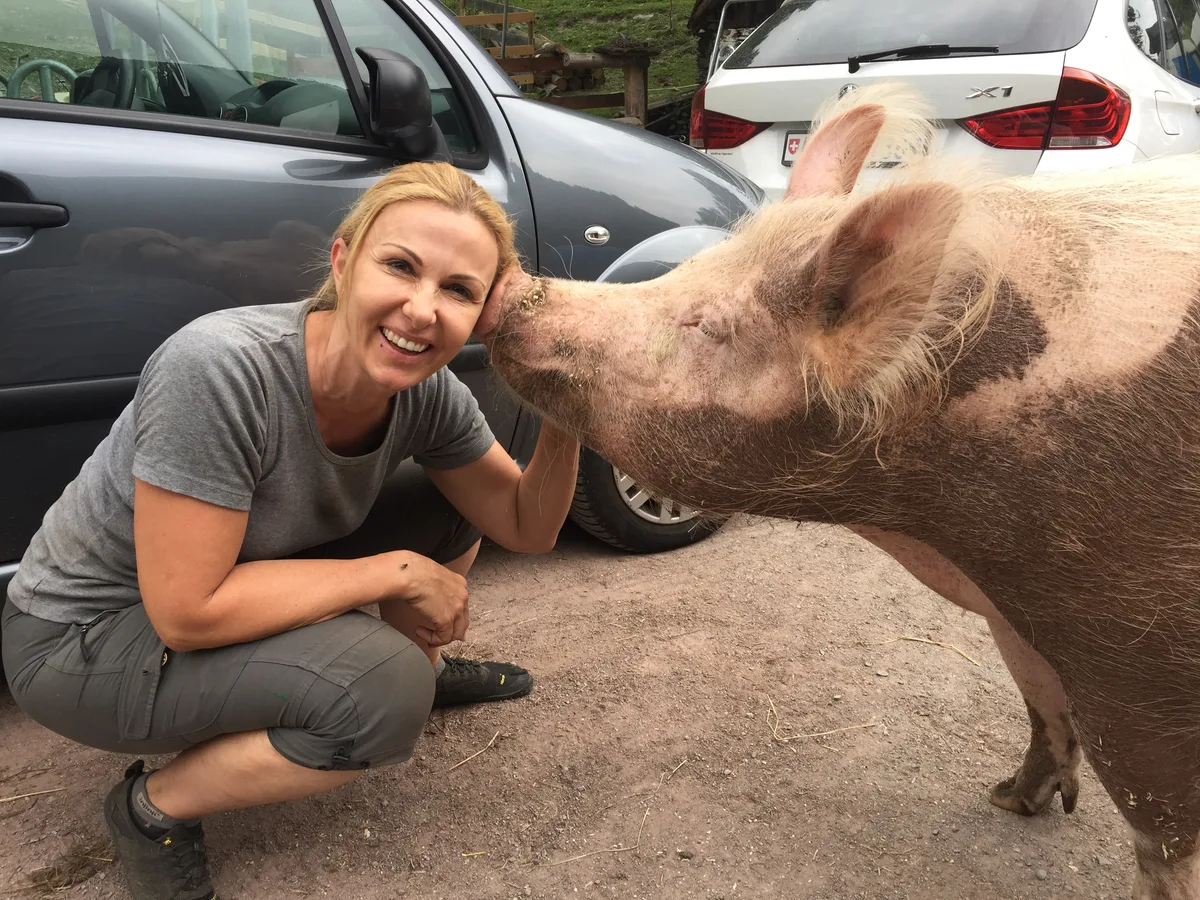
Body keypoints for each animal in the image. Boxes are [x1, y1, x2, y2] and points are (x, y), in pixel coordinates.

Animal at [477, 82, 1200, 900]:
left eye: (708, 323)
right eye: (687, 273)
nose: (512, 281)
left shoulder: (1136, 642)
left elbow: (1159, 830)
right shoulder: (1020, 602)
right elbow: (1039, 697)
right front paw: (1008, 801)